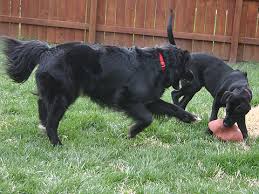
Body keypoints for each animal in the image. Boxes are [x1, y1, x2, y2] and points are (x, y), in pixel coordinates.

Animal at [1, 34, 197, 146]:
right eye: (187, 64)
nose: (194, 76)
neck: (159, 64)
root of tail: (48, 51)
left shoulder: (148, 100)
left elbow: (172, 108)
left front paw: (190, 117)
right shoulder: (127, 98)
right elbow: (147, 118)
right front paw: (132, 132)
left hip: (56, 93)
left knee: (42, 104)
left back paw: (43, 126)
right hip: (63, 96)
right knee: (51, 121)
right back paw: (57, 143)